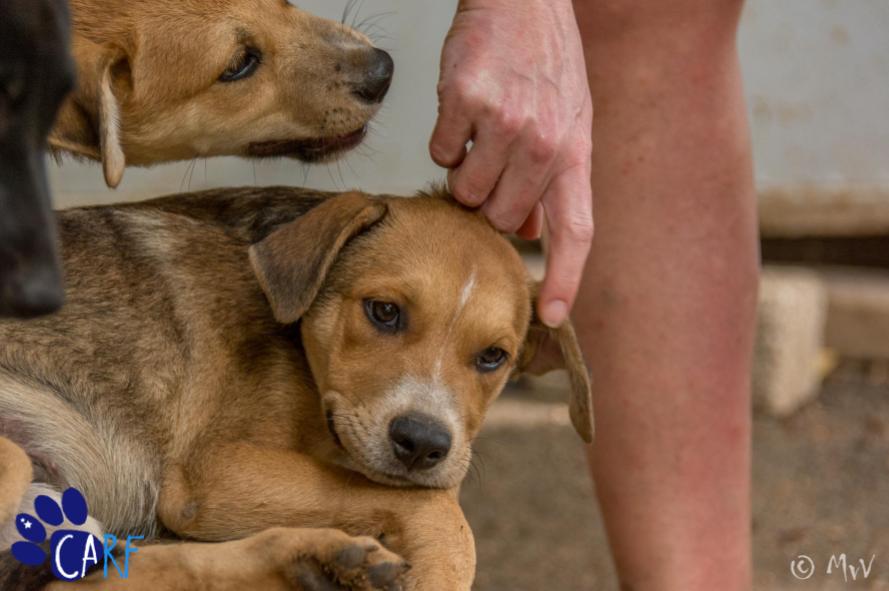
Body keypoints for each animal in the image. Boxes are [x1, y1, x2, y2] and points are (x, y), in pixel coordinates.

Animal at [1, 187, 596, 588]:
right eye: (384, 311)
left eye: (494, 357)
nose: (424, 445)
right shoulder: (213, 471)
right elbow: (437, 508)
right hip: (15, 458)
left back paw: (317, 561)